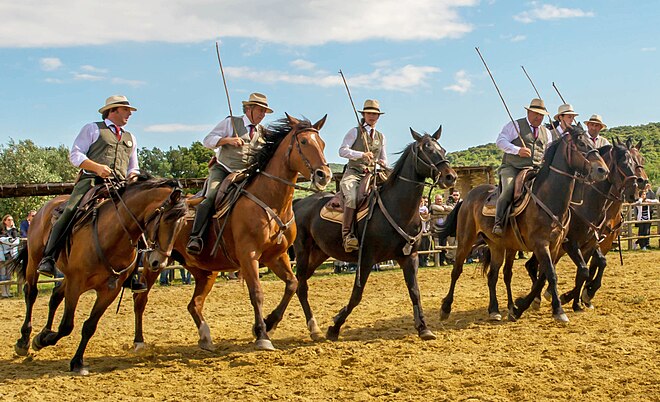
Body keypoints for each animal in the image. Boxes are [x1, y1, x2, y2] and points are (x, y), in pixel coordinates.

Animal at [9, 174, 187, 376]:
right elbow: (67, 326)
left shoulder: (110, 290)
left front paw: (75, 361)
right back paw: (24, 341)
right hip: (34, 261)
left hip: (66, 277)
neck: (111, 235)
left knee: (55, 297)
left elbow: (89, 326)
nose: (159, 262)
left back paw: (44, 332)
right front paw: (44, 341)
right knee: (31, 294)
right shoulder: (76, 283)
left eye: (182, 224)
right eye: (167, 218)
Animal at [133, 115, 330, 352]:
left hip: (204, 270)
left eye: (322, 144)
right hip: (154, 261)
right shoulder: (249, 256)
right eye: (303, 142)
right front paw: (262, 335)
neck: (270, 202)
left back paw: (206, 338)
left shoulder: (277, 256)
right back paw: (138, 342)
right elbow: (257, 293)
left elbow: (292, 284)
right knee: (140, 300)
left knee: (194, 304)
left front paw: (269, 324)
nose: (324, 175)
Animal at [292, 127, 456, 340]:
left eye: (442, 149)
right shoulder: (366, 259)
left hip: (319, 253)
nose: (450, 177)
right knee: (301, 285)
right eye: (426, 149)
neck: (397, 207)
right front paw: (335, 326)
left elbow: (415, 291)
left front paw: (423, 328)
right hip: (303, 251)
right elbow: (356, 295)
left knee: (297, 283)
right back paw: (309, 328)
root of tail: (299, 203)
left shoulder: (409, 257)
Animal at [438, 125, 608, 324]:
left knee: (495, 275)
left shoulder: (555, 245)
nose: (602, 170)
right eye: (581, 143)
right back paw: (446, 308)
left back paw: (495, 310)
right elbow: (551, 274)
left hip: (498, 246)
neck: (548, 199)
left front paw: (520, 307)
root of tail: (467, 198)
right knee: (457, 270)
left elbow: (545, 275)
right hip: (466, 240)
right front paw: (558, 309)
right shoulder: (542, 245)